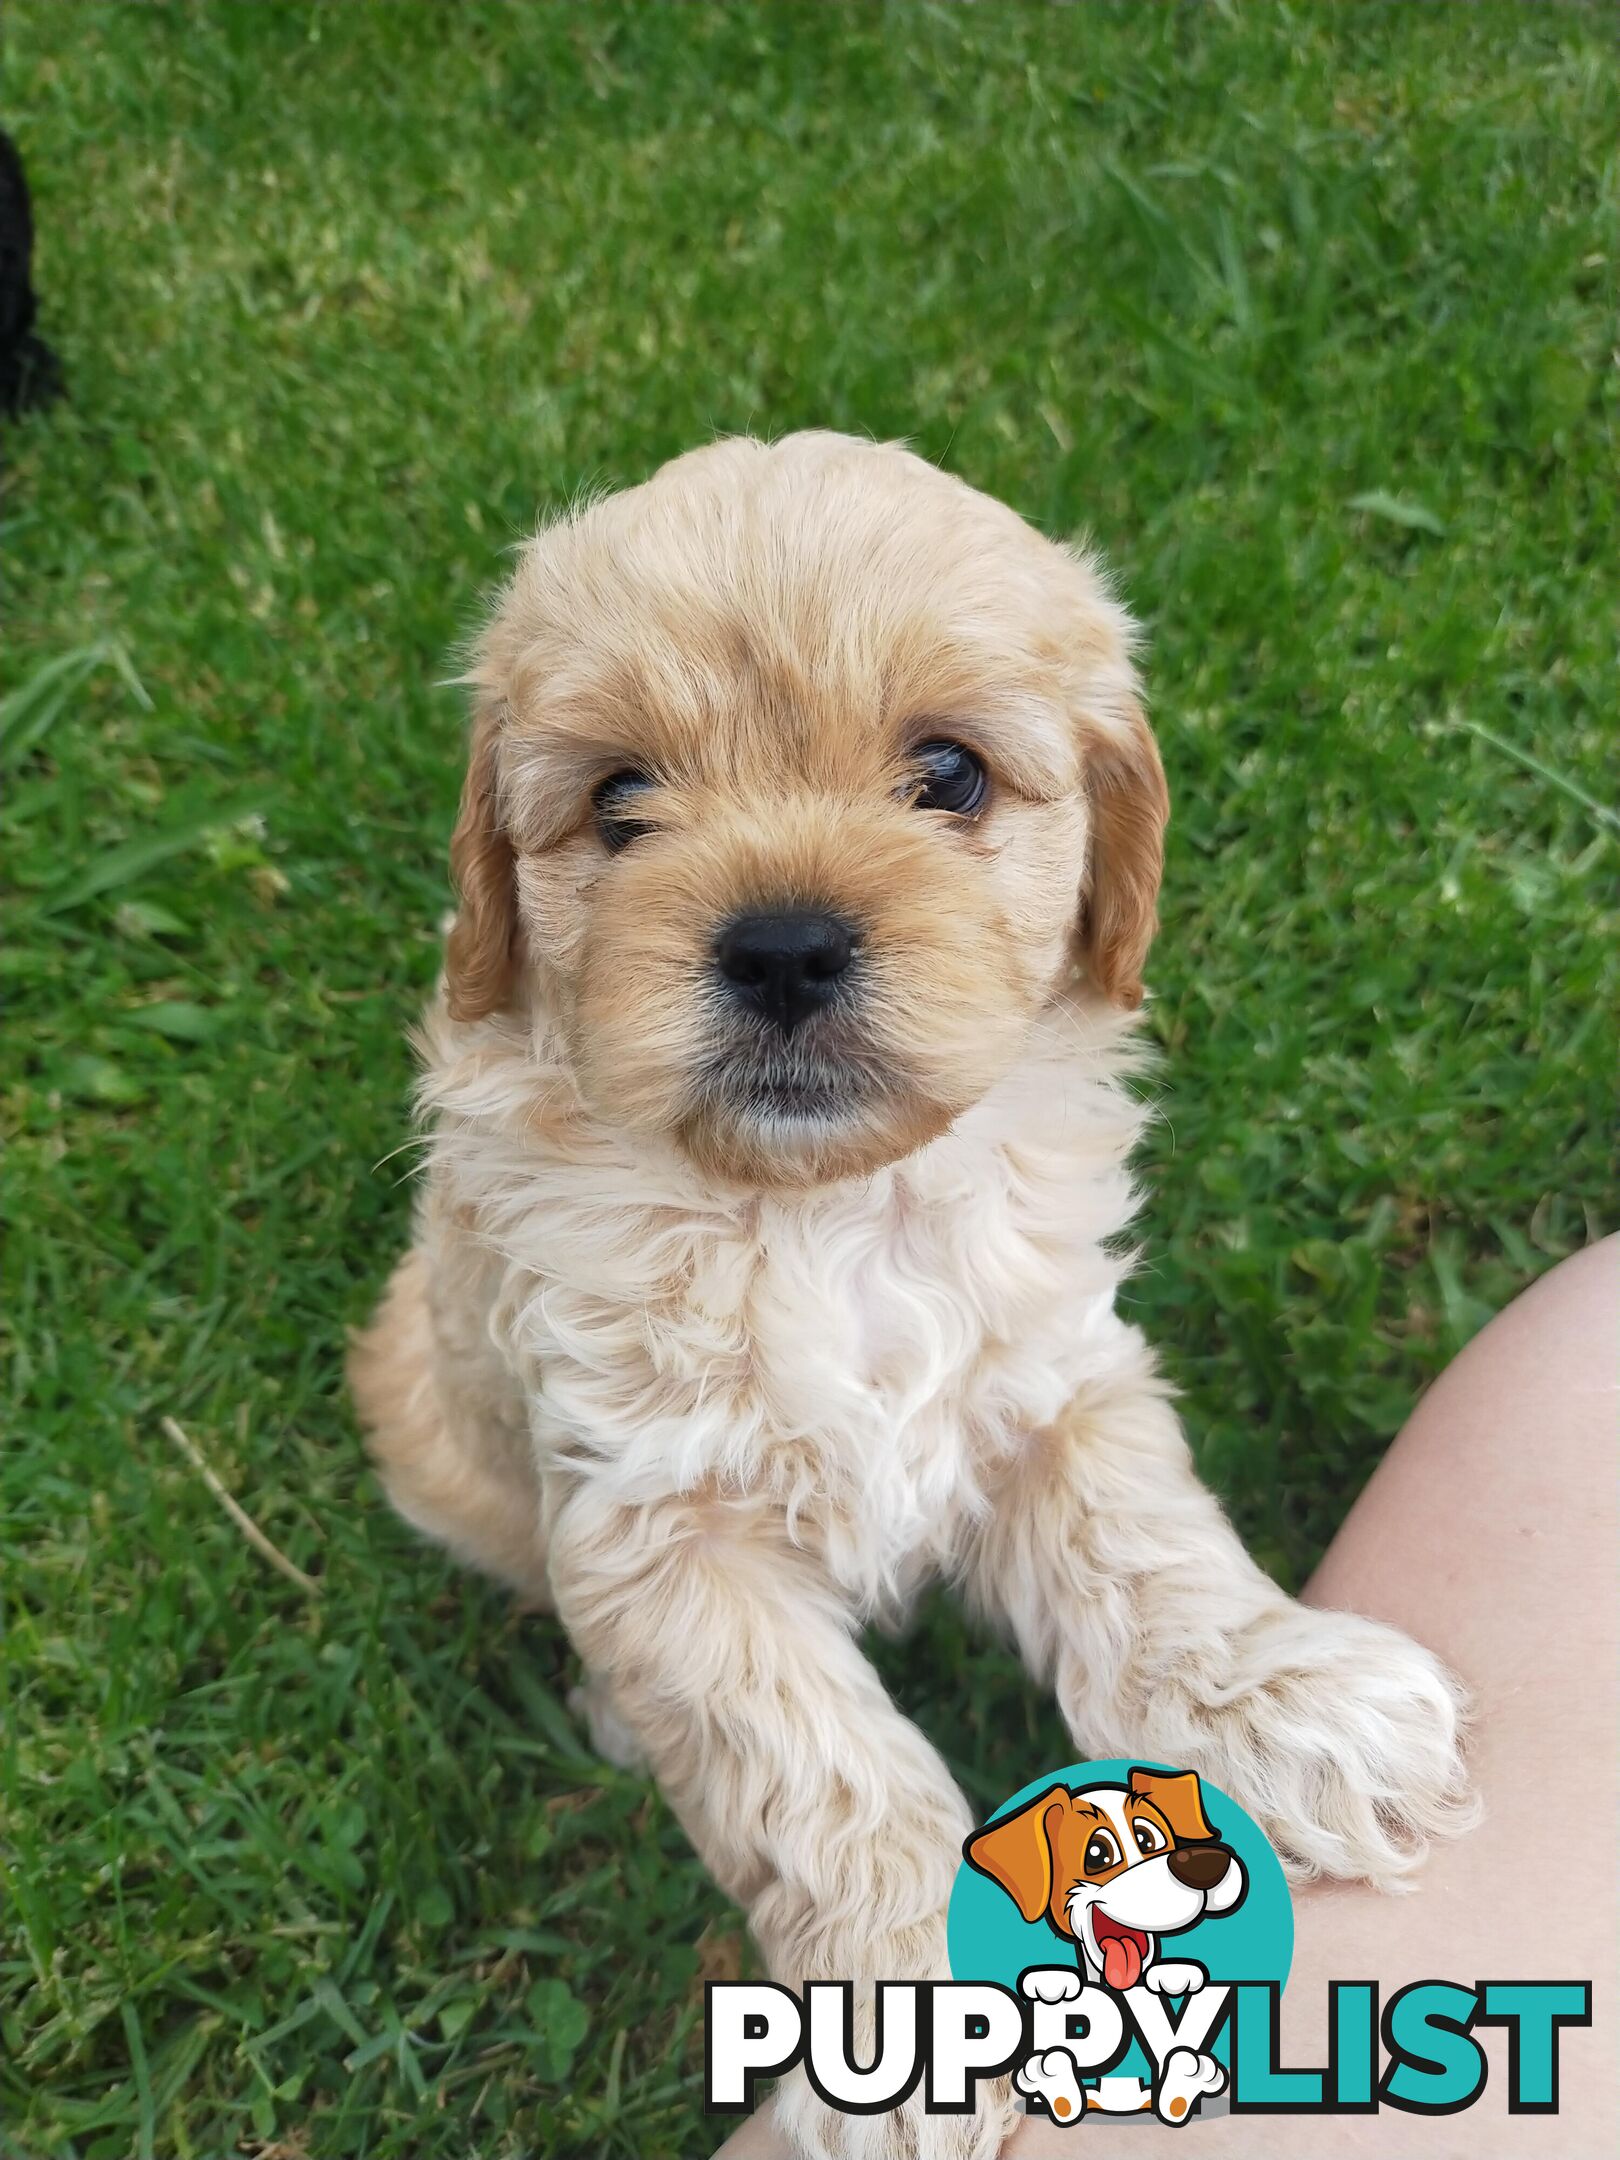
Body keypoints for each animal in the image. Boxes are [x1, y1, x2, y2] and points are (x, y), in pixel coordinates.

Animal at [354, 434, 1486, 2160]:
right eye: (619, 802)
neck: (822, 1211)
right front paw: (912, 2043)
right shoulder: (658, 1526)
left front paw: (1284, 1701)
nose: (783, 947)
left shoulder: (1053, 1379)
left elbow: (1147, 1551)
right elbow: (815, 1772)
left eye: (948, 775)